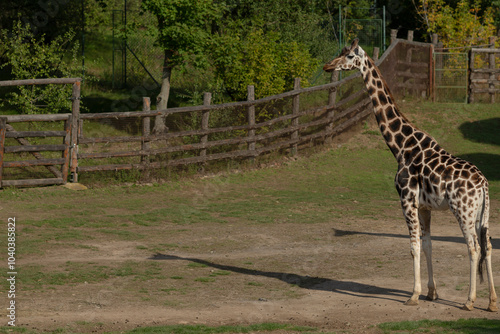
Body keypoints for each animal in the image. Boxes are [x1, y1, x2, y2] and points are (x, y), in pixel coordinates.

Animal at [322, 39, 498, 314]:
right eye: (341, 53)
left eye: (349, 56)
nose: (328, 66)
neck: (401, 146)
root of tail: (483, 184)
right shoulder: (424, 206)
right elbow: (427, 245)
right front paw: (432, 293)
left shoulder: (406, 200)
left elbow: (413, 246)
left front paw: (413, 295)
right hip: (483, 212)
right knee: (488, 245)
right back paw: (491, 302)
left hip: (463, 211)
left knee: (473, 247)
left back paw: (469, 301)